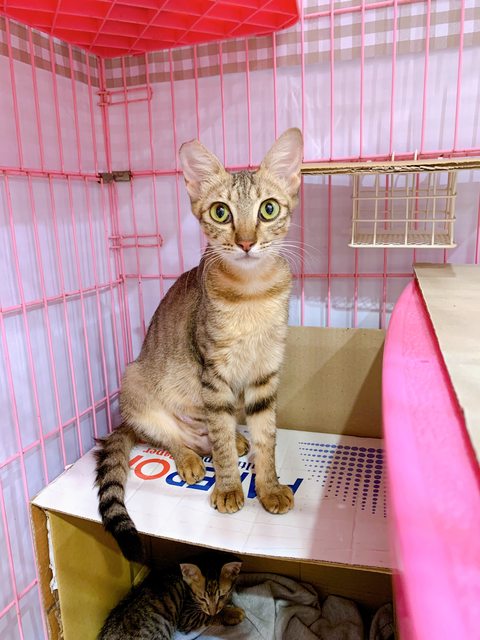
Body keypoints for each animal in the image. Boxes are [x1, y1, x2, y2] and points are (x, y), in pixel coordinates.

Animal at [95, 128, 303, 561]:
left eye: (269, 209)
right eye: (221, 212)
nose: (246, 242)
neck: (252, 295)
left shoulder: (265, 373)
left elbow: (267, 437)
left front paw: (270, 486)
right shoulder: (213, 374)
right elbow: (220, 439)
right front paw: (227, 488)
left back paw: (233, 443)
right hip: (134, 383)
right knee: (170, 438)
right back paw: (191, 460)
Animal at [98, 552, 244, 640]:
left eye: (221, 596)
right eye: (202, 598)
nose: (213, 611)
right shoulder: (187, 616)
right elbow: (206, 615)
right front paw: (233, 613)